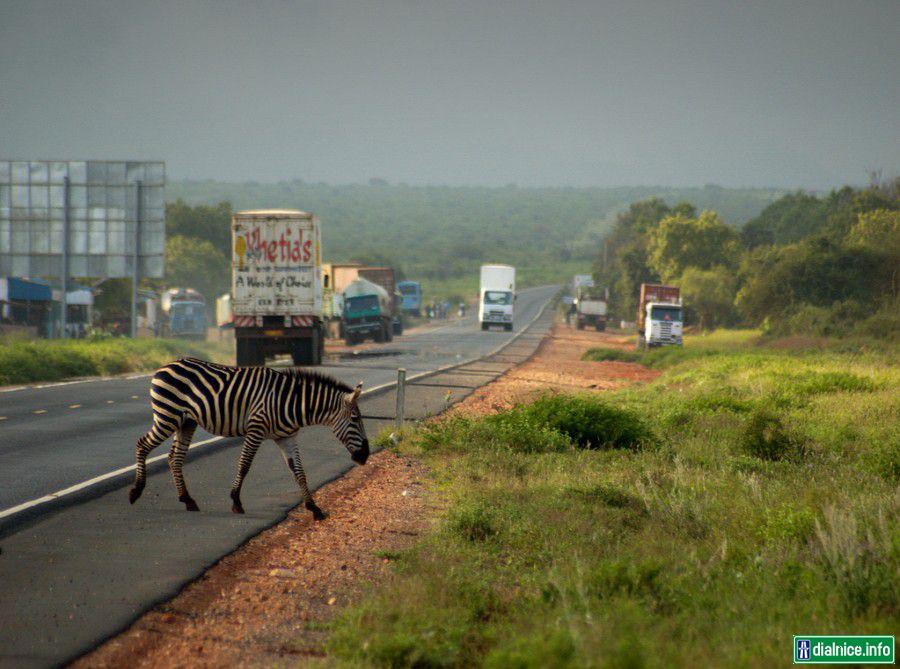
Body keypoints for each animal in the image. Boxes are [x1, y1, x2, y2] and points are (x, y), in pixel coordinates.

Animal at [126, 358, 370, 520]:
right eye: (356, 419)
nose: (365, 456)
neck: (291, 403)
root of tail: (166, 365)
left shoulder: (287, 437)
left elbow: (299, 472)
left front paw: (314, 508)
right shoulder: (256, 429)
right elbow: (244, 465)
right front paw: (236, 501)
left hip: (186, 422)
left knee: (174, 458)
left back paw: (187, 499)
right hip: (167, 416)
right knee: (142, 444)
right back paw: (136, 492)